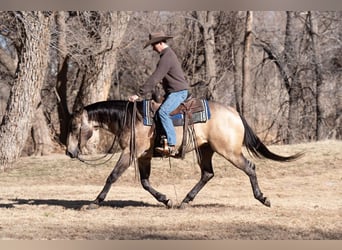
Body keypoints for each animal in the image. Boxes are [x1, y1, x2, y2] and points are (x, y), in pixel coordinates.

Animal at [65, 99, 300, 209]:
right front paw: (166, 200)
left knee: (249, 168)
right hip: (206, 150)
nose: (69, 152)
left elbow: (112, 176)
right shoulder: (143, 156)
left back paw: (263, 198)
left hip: (229, 151)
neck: (131, 118)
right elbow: (145, 182)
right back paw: (186, 200)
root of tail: (234, 113)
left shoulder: (130, 153)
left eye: (75, 126)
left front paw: (94, 202)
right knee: (207, 174)